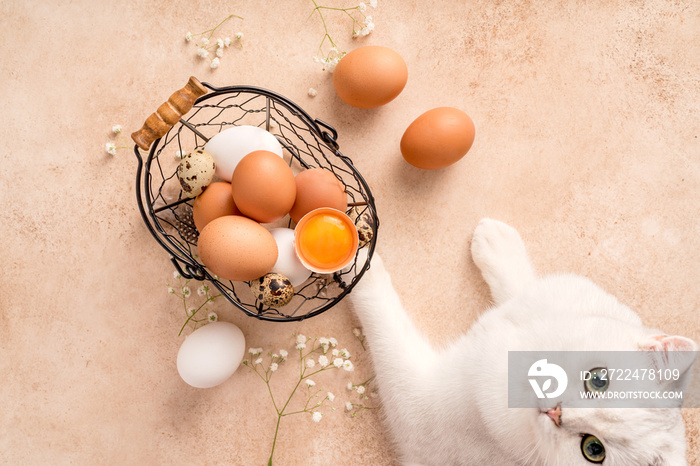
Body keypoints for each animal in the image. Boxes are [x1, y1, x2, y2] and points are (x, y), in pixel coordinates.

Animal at [348, 219, 696, 466]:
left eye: (593, 449)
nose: (556, 412)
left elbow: (384, 316)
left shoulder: (418, 410)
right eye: (599, 380)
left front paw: (357, 264)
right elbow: (521, 286)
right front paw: (496, 242)